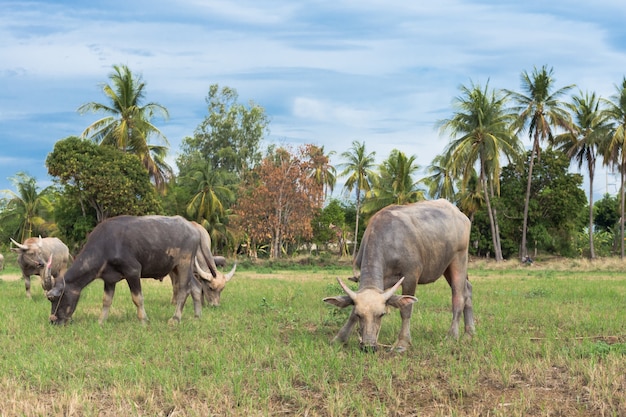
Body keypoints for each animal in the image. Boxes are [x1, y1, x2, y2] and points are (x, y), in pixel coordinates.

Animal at [45, 214, 219, 324]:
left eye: (55, 298)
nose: (54, 320)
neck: (106, 245)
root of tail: (194, 229)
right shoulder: (109, 279)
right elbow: (106, 300)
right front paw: (101, 321)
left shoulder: (133, 271)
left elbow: (137, 298)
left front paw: (144, 320)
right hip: (177, 267)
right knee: (196, 286)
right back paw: (197, 316)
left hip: (184, 263)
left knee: (183, 289)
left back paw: (175, 319)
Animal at [322, 198, 472, 352]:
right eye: (360, 315)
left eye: (381, 314)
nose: (369, 346)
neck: (388, 240)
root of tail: (461, 215)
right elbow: (351, 313)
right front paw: (340, 338)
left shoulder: (411, 276)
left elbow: (405, 309)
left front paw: (402, 342)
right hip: (446, 266)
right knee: (468, 290)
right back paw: (469, 333)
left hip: (459, 258)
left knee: (459, 297)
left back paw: (452, 336)